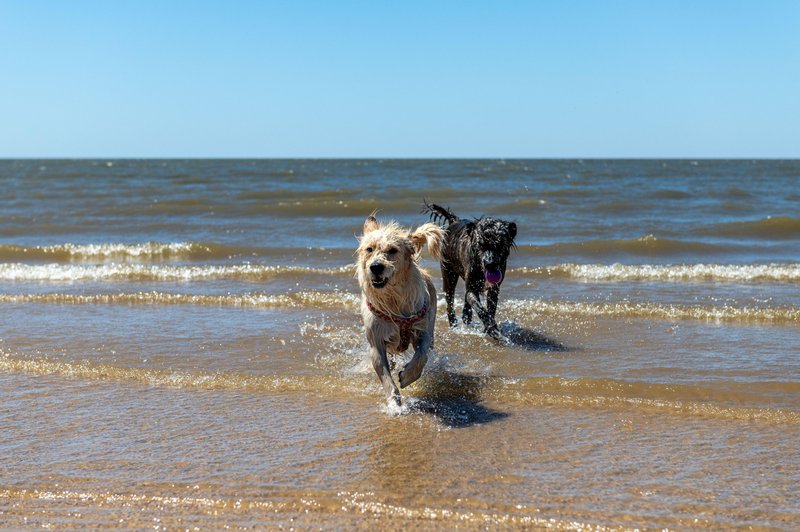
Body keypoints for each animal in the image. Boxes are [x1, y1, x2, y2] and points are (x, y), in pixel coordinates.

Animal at [356, 214, 444, 406]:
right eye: (369, 249)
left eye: (393, 250)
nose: (376, 267)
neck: (393, 299)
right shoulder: (376, 342)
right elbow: (385, 374)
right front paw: (394, 402)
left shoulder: (423, 330)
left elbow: (422, 356)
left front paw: (407, 376)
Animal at [422, 202, 516, 338]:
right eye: (480, 244)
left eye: (499, 244)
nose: (489, 263)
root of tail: (454, 221)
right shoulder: (472, 286)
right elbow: (479, 307)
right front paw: (491, 328)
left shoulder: (494, 289)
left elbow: (490, 309)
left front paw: (489, 327)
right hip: (448, 275)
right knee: (450, 301)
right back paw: (454, 323)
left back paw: (466, 315)